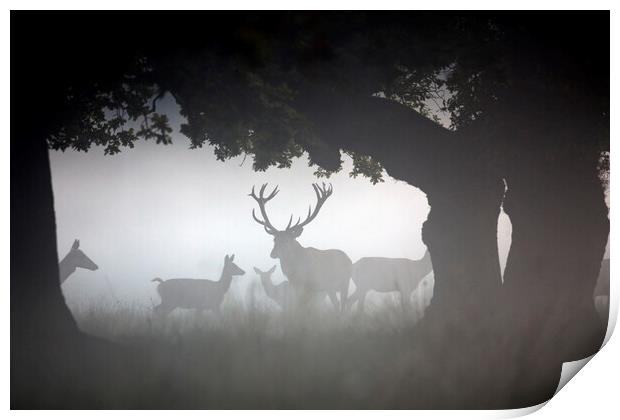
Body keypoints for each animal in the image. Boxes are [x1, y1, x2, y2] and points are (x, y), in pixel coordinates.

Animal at [248, 184, 354, 312]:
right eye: (274, 239)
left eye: (286, 240)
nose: (273, 254)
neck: (295, 272)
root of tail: (349, 259)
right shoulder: (295, 286)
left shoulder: (310, 286)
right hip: (330, 288)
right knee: (337, 304)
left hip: (343, 282)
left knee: (342, 304)